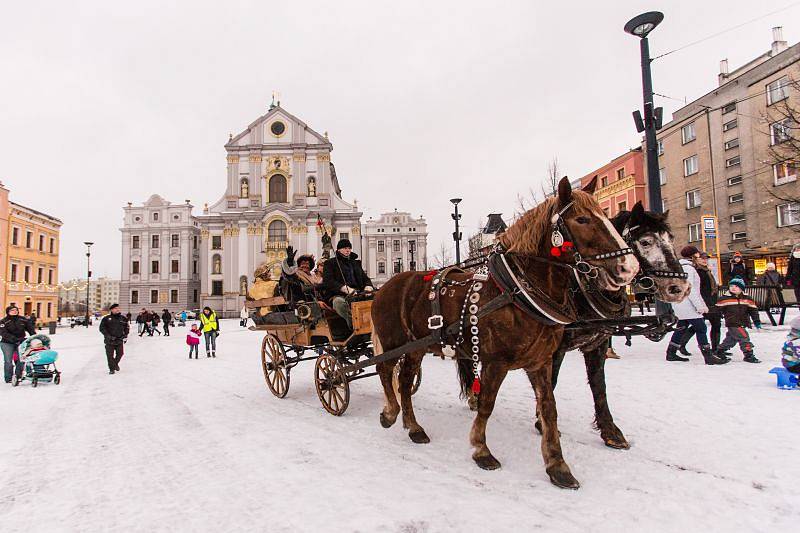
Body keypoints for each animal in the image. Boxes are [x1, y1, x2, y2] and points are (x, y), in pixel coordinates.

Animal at [372, 177, 640, 488]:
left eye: (606, 217)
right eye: (582, 219)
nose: (629, 267)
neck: (517, 290)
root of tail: (385, 286)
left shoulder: (541, 361)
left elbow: (549, 407)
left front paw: (557, 465)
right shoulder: (495, 363)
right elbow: (487, 404)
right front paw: (481, 449)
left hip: (416, 348)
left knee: (404, 381)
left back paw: (413, 427)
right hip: (395, 342)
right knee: (384, 372)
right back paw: (390, 413)